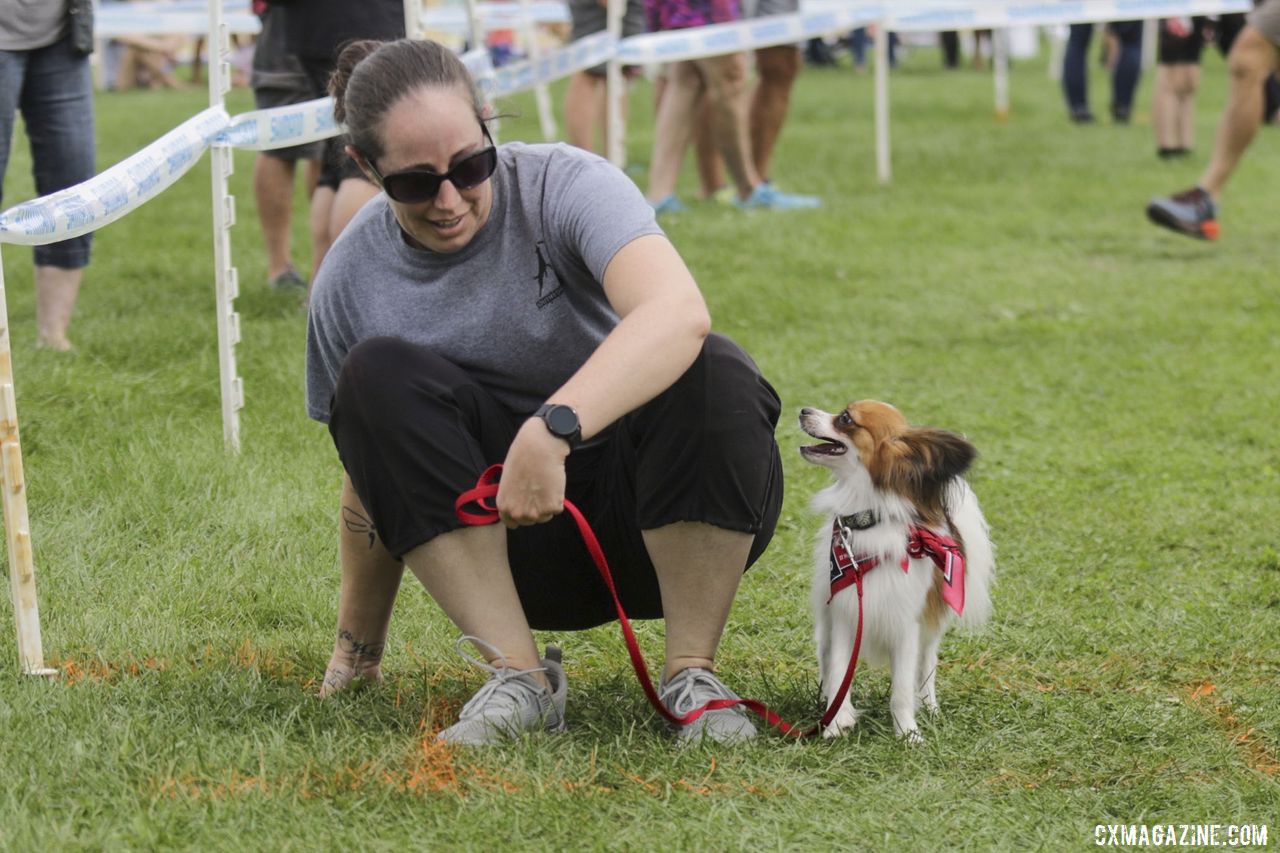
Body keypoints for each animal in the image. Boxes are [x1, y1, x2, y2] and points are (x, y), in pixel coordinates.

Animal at [798, 399, 988, 737]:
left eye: (845, 418)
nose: (803, 410)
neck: (869, 520)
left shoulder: (907, 624)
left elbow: (901, 687)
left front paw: (908, 733)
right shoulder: (845, 614)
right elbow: (839, 673)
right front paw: (834, 723)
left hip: (930, 631)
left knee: (926, 666)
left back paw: (929, 706)